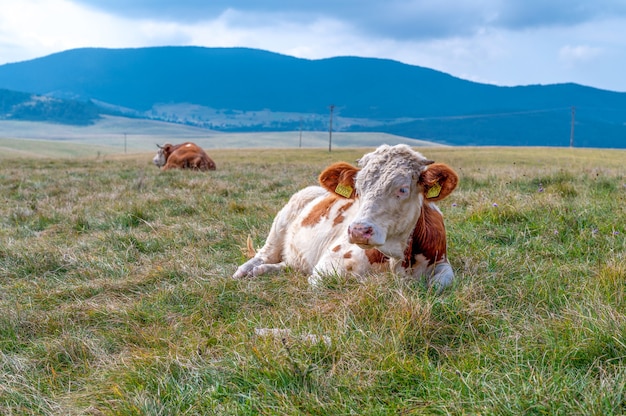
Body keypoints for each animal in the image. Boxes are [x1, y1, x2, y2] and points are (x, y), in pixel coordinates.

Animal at [232, 145, 456, 290]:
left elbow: (440, 284)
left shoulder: (442, 263)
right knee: (264, 254)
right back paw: (245, 271)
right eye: (358, 187)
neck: (399, 259)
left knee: (289, 265)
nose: (358, 230)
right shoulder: (325, 268)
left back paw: (263, 270)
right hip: (281, 222)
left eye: (402, 189)